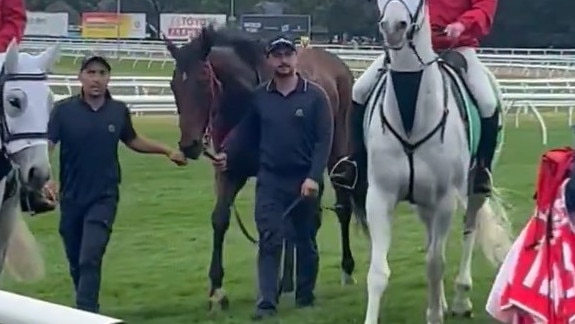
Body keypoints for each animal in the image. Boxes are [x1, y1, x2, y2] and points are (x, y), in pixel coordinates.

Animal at [362, 0, 516, 324]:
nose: (394, 27)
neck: (411, 119)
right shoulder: (379, 197)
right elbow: (378, 272)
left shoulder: (445, 198)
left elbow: (435, 262)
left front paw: (435, 314)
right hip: (423, 201)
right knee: (432, 234)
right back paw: (444, 301)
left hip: (474, 188)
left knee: (468, 231)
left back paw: (459, 300)